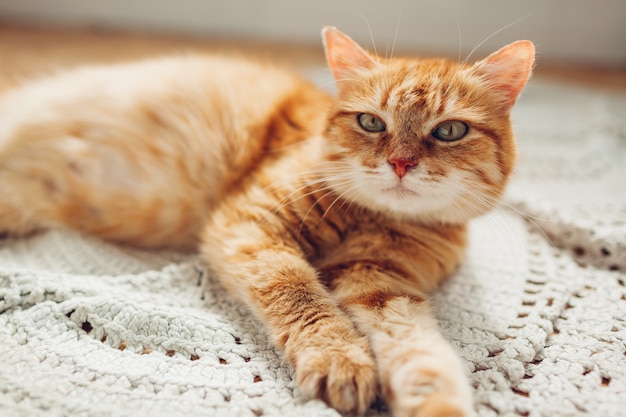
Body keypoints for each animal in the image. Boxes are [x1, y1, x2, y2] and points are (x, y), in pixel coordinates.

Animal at [0, 27, 532, 414]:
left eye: (450, 131)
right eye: (371, 123)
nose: (400, 164)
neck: (369, 216)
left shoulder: (381, 281)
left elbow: (421, 352)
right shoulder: (252, 226)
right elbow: (301, 296)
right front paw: (340, 358)